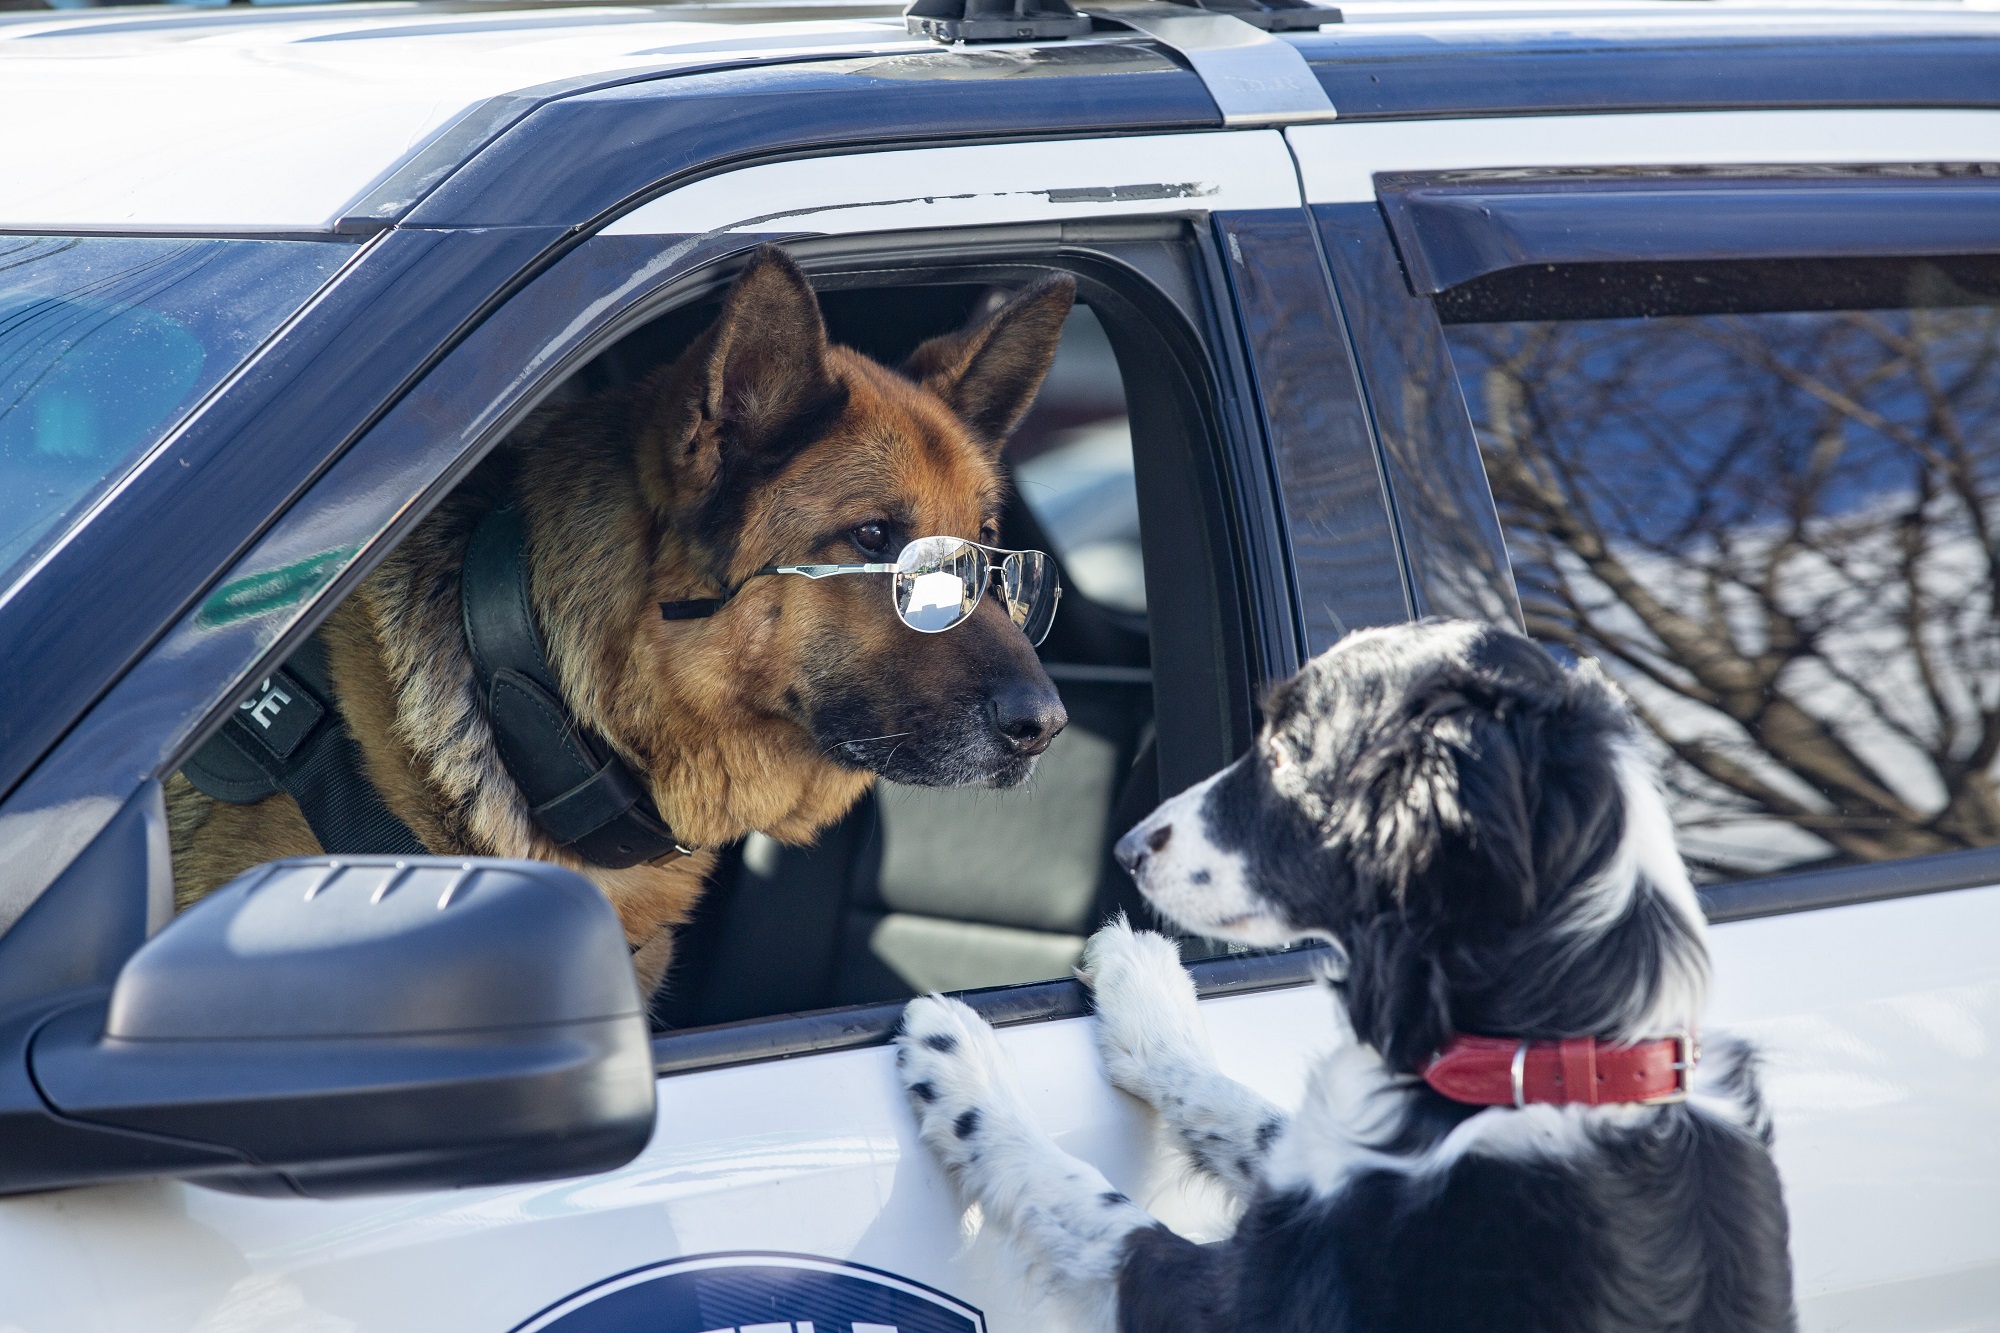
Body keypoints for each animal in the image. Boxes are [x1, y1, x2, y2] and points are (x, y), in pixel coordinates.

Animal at [896, 616, 1800, 1320]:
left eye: (1287, 753)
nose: (1124, 848)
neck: (1548, 1056)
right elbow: (1247, 1112)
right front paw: (1147, 1000)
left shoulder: (1239, 1299)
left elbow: (1088, 1202)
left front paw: (964, 1069)